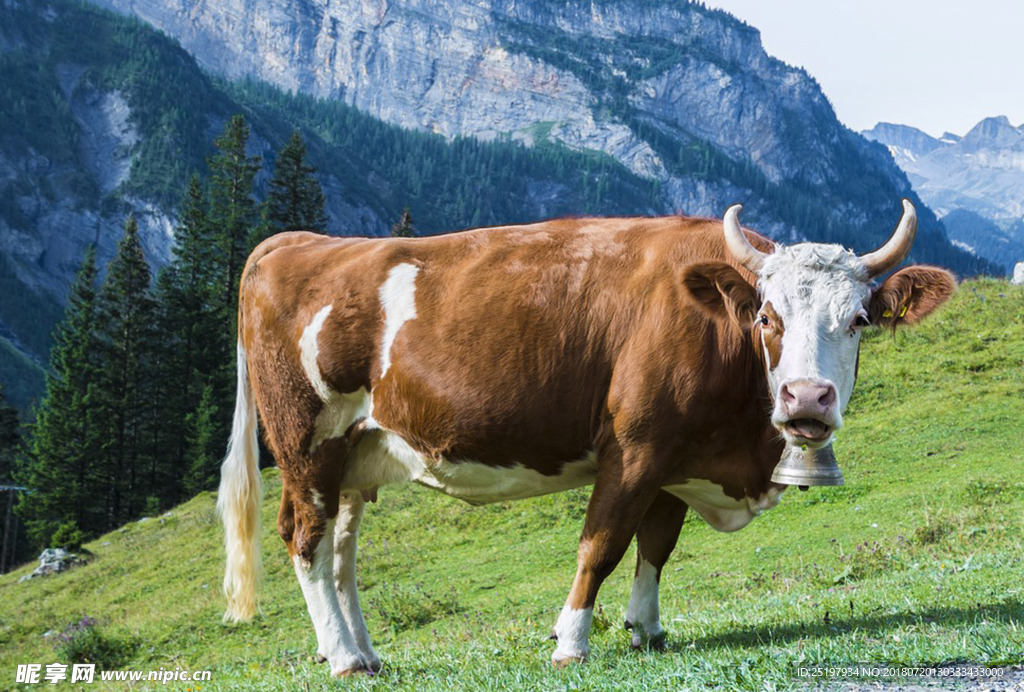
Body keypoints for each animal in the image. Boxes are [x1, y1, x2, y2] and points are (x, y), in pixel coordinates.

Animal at [220, 199, 954, 675]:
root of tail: (295, 242)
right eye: (767, 317)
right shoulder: (635, 448)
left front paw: (647, 630)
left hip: (357, 454)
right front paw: (570, 642)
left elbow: (657, 547)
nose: (806, 398)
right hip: (307, 443)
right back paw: (344, 657)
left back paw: (363, 652)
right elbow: (601, 546)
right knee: (306, 542)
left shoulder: (675, 460)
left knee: (341, 553)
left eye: (859, 319)